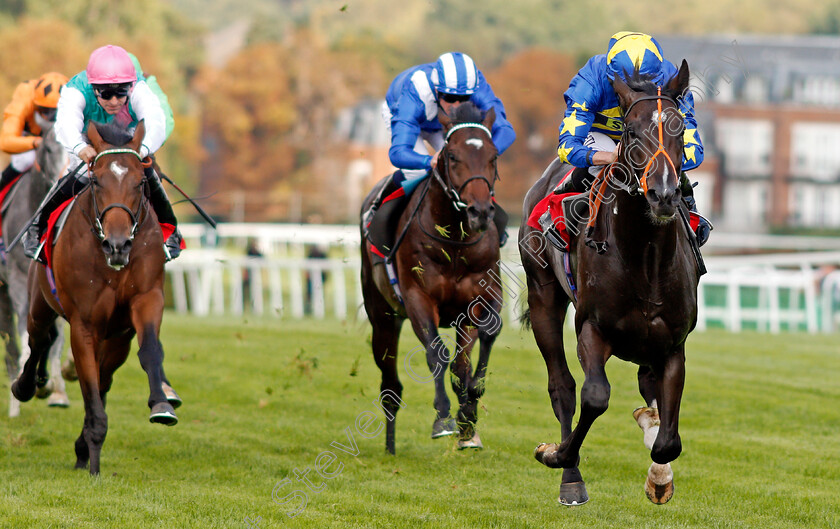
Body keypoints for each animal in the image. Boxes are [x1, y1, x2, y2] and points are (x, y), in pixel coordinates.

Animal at [11, 120, 177, 474]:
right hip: (38, 302)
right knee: (39, 339)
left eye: (141, 181)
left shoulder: (142, 305)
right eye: (97, 180)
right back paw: (26, 385)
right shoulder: (84, 324)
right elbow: (89, 386)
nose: (118, 244)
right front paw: (93, 455)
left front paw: (161, 404)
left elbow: (147, 353)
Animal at [358, 102, 502, 454]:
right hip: (382, 316)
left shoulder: (479, 297)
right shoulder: (417, 298)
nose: (479, 212)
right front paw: (444, 419)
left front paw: (469, 416)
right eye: (451, 156)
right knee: (390, 384)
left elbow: (473, 352)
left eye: (493, 156)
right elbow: (438, 354)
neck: (454, 242)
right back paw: (390, 445)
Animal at [520, 60, 700, 504]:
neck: (646, 259)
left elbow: (668, 441)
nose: (664, 194)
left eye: (679, 128)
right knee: (562, 386)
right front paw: (555, 454)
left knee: (646, 386)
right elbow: (594, 396)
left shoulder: (672, 344)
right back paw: (570, 477)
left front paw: (659, 476)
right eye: (632, 131)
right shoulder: (592, 328)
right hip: (542, 294)